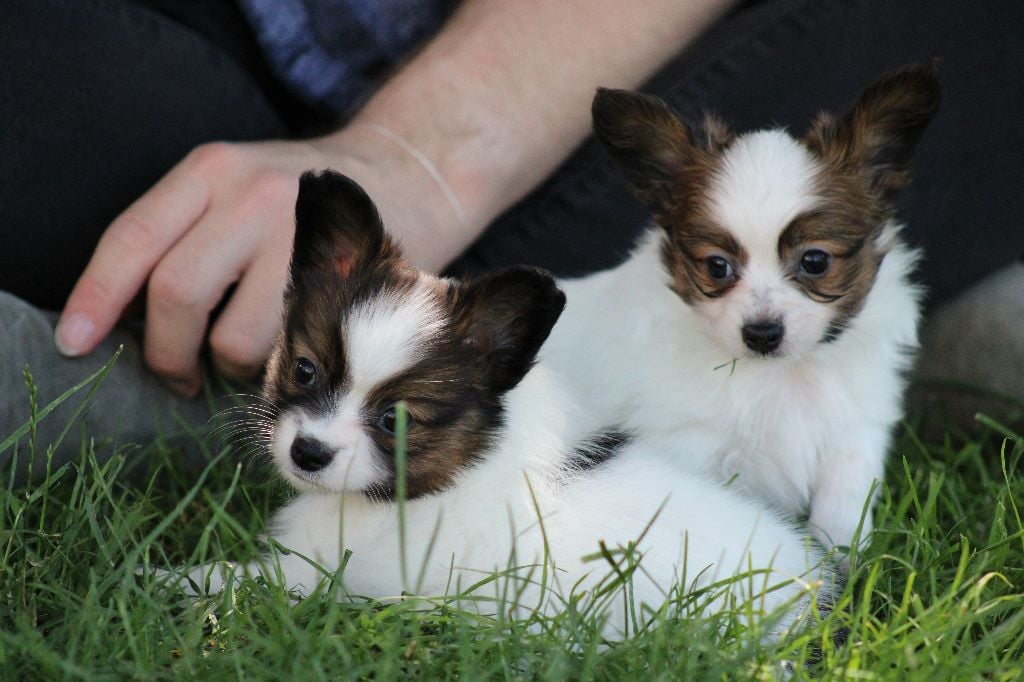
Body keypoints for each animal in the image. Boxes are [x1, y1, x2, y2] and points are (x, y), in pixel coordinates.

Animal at [174, 169, 831, 638]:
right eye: (304, 370)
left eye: (396, 420)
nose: (308, 453)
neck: (454, 470)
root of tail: (809, 592)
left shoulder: (337, 578)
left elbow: (246, 581)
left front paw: (173, 579)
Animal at [548, 65, 937, 552]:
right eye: (717, 266)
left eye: (815, 261)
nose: (762, 333)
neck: (781, 378)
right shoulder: (689, 442)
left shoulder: (852, 437)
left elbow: (841, 517)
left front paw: (848, 566)